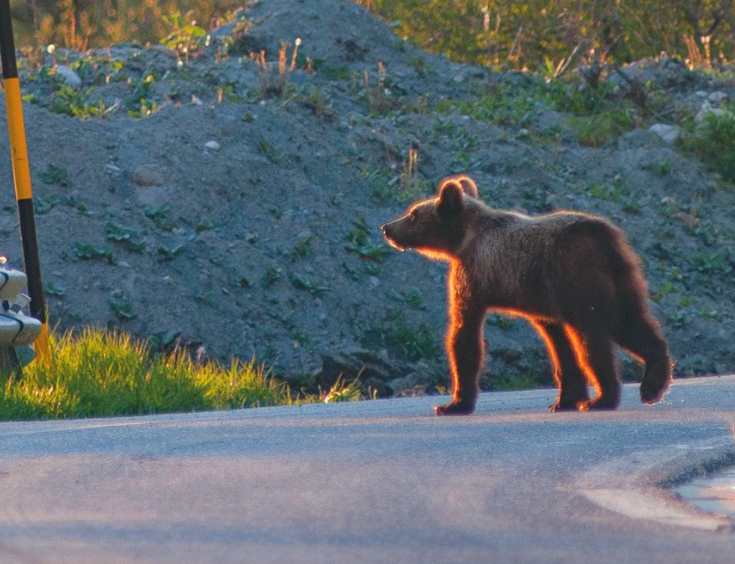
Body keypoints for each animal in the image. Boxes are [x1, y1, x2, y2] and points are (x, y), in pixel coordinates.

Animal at [382, 174, 676, 416]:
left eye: (413, 214)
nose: (387, 228)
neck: (463, 240)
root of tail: (602, 235)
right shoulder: (544, 305)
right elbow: (559, 346)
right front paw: (564, 400)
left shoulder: (474, 276)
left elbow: (464, 332)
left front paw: (453, 404)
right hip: (621, 277)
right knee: (631, 322)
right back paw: (653, 383)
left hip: (577, 279)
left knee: (592, 337)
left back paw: (602, 399)